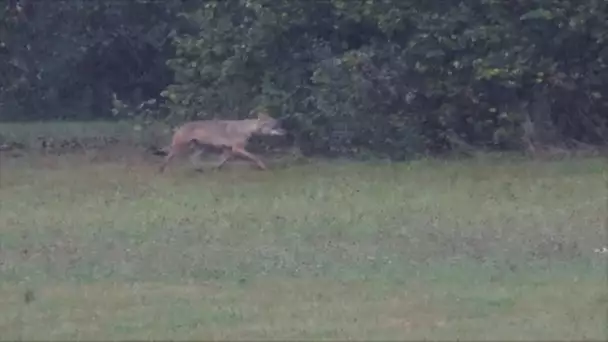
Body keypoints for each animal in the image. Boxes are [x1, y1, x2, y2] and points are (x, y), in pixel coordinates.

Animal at [159, 111, 288, 172]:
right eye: (275, 126)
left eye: (278, 125)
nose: (284, 131)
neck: (247, 128)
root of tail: (180, 126)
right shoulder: (237, 148)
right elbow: (255, 157)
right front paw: (263, 167)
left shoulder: (228, 150)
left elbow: (222, 161)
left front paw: (216, 169)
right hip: (179, 147)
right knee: (167, 157)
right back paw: (162, 170)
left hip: (201, 148)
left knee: (192, 157)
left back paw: (200, 170)